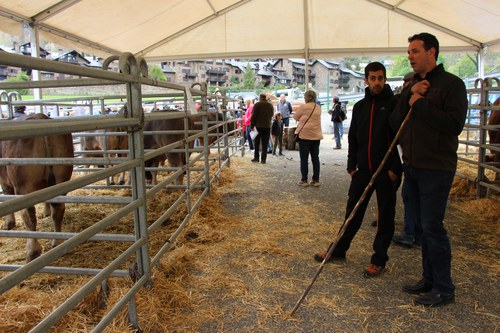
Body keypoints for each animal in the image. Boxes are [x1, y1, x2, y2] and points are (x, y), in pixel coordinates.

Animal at [0, 113, 74, 260]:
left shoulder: (4, 180)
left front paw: (9, 223)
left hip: (23, 186)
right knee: (58, 210)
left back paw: (32, 251)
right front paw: (45, 212)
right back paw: (57, 242)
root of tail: (41, 116)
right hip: (62, 179)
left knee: (29, 216)